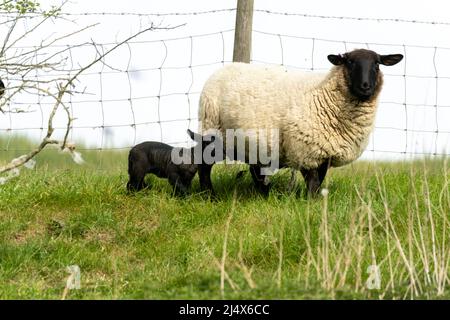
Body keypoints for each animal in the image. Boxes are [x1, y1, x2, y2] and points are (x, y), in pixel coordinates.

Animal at [199, 49, 402, 195]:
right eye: (350, 62)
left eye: (377, 63)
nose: (365, 86)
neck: (324, 95)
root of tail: (221, 70)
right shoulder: (306, 150)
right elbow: (312, 183)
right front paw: (311, 204)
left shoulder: (324, 154)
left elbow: (319, 181)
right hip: (212, 129)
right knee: (203, 164)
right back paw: (209, 194)